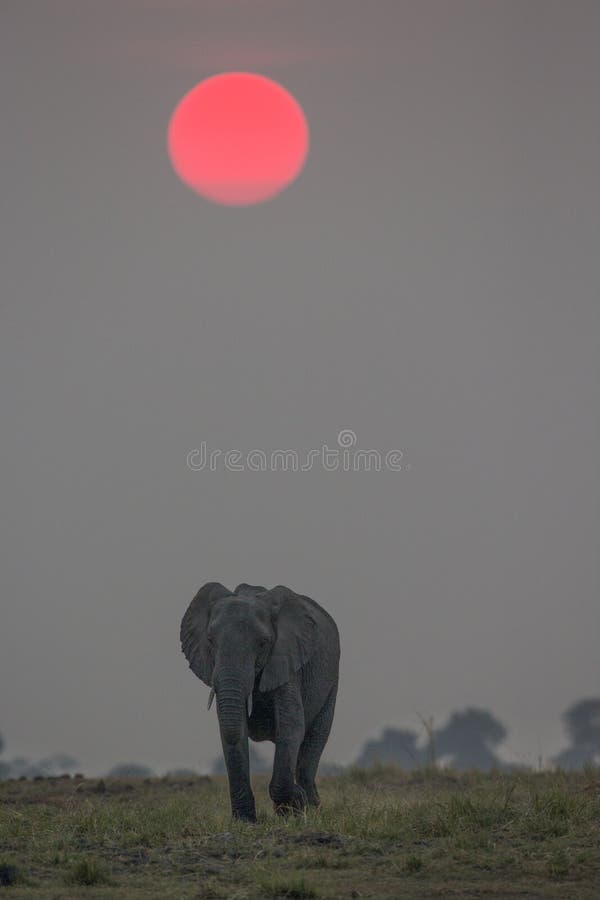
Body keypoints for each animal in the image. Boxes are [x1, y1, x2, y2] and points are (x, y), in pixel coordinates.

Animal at [178, 584, 340, 824]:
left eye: (263, 643)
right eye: (210, 640)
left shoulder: (286, 661)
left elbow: (292, 725)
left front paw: (295, 805)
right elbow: (231, 729)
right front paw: (245, 822)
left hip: (331, 682)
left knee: (312, 743)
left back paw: (310, 807)